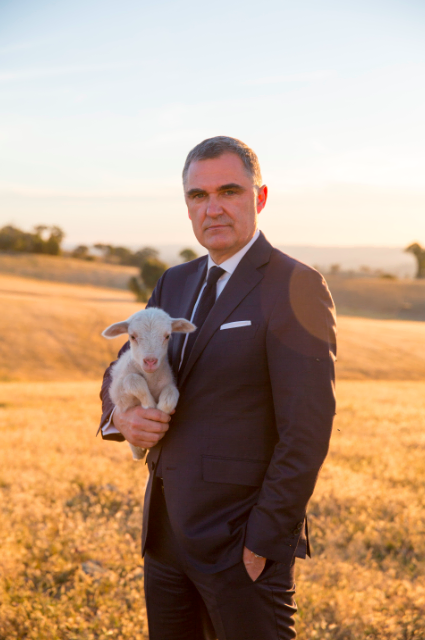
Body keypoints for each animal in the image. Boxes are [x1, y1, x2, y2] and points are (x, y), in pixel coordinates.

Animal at [102, 307, 195, 460]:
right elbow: (133, 380)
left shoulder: (168, 382)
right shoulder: (119, 392)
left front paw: (161, 413)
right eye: (132, 336)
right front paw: (150, 404)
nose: (150, 361)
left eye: (167, 336)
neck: (151, 378)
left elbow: (171, 393)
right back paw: (138, 453)